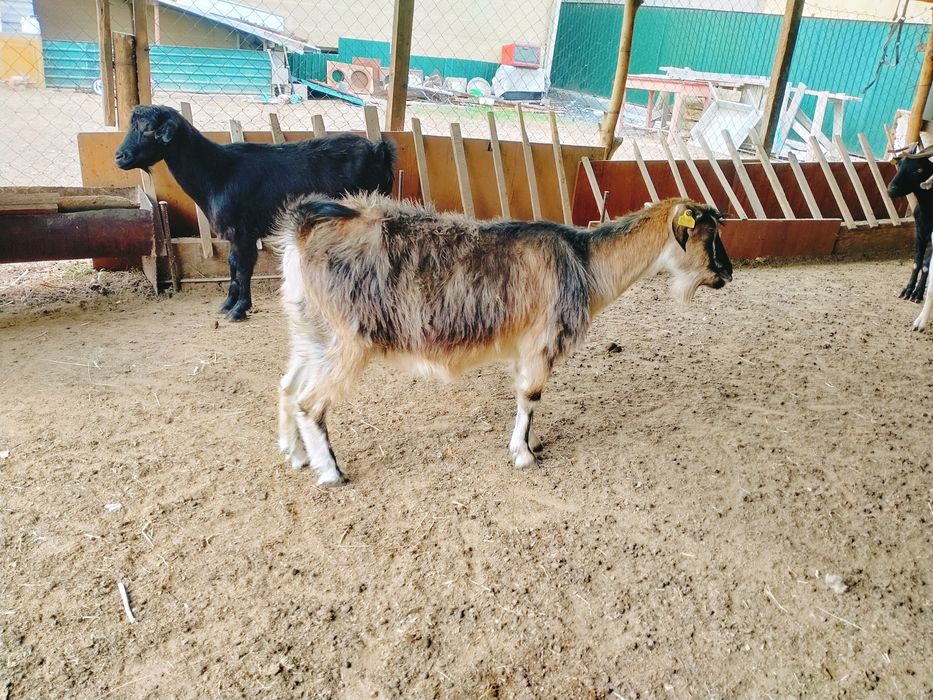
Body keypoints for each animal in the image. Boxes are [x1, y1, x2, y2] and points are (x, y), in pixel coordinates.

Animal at [114, 104, 396, 320]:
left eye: (149, 129)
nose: (120, 156)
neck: (218, 172)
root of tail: (378, 150)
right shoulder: (233, 234)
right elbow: (232, 265)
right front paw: (228, 304)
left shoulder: (243, 231)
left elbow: (243, 268)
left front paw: (239, 309)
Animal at [273, 194, 733, 486]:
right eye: (709, 234)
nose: (727, 273)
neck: (586, 261)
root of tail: (303, 228)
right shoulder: (541, 341)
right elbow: (530, 396)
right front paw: (524, 454)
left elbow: (524, 397)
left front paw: (528, 443)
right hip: (345, 342)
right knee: (309, 404)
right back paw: (331, 472)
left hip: (309, 332)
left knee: (287, 387)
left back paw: (296, 456)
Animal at [887, 142, 933, 304]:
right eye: (899, 164)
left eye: (919, 170)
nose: (891, 189)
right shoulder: (919, 232)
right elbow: (916, 263)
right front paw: (907, 291)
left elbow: (926, 265)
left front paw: (917, 294)